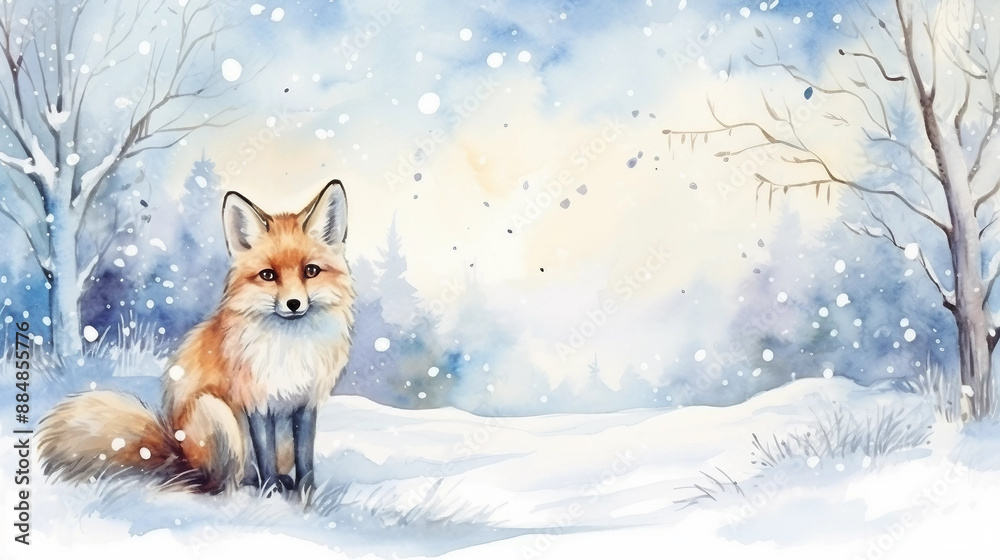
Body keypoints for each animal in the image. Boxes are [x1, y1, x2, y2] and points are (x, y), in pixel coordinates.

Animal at [37, 180, 356, 494]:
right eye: (268, 275)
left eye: (310, 271)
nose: (293, 304)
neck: (290, 348)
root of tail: (177, 454)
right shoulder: (255, 401)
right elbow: (265, 456)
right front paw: (272, 494)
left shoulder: (306, 403)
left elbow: (306, 458)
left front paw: (307, 495)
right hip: (216, 412)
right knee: (218, 481)